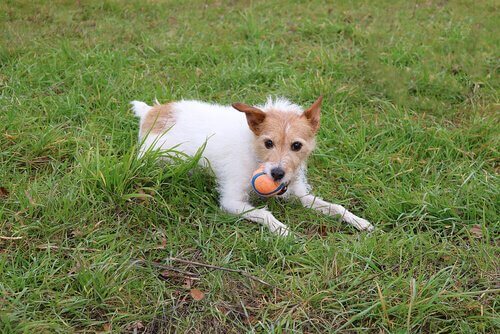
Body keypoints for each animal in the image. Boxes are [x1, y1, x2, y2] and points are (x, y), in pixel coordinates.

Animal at [131, 95, 374, 236]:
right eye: (268, 143)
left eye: (296, 145)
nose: (277, 173)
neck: (254, 151)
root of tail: (151, 112)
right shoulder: (231, 202)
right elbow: (264, 214)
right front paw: (282, 230)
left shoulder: (299, 194)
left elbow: (336, 207)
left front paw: (357, 220)